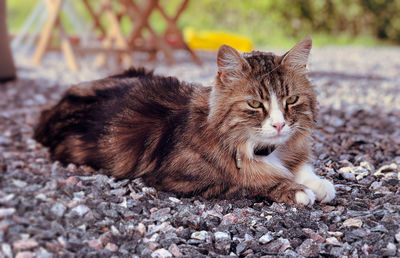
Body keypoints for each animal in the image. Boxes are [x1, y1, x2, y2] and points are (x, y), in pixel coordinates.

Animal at [33, 37, 334, 206]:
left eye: (291, 100)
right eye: (254, 104)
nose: (280, 125)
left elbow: (301, 168)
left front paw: (319, 184)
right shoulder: (182, 179)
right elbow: (251, 181)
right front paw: (298, 190)